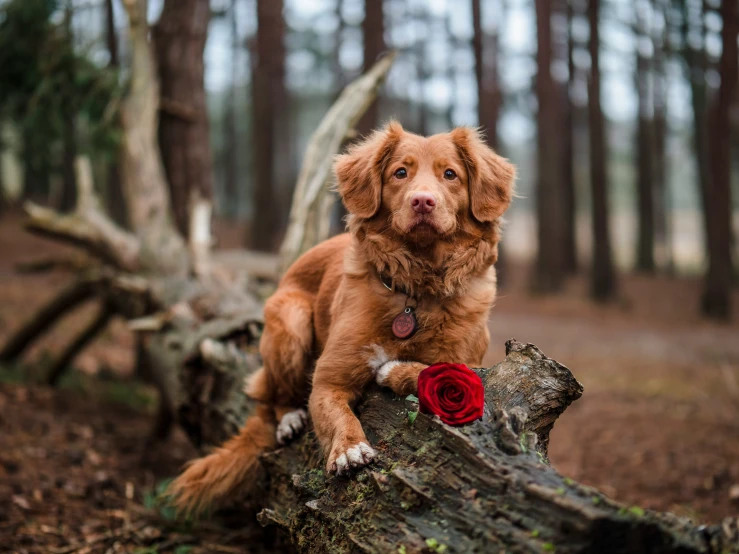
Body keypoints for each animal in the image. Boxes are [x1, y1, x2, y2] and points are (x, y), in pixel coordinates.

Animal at [169, 123, 516, 512]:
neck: (416, 289)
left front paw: (393, 370)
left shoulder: (471, 364)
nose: (423, 201)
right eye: (400, 172)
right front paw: (349, 449)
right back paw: (289, 417)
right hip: (290, 319)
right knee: (272, 398)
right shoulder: (328, 380)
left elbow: (439, 370)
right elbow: (337, 413)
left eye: (450, 174)